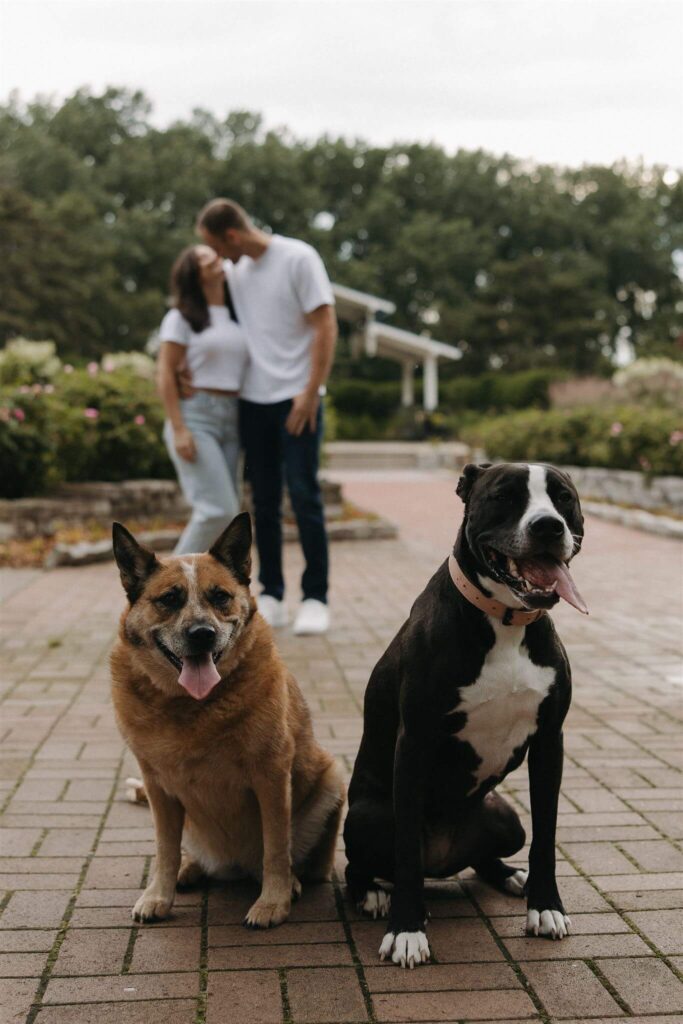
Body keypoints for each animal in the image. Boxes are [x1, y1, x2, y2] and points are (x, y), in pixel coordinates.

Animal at [114, 512, 348, 929]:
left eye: (220, 596)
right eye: (169, 599)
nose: (202, 634)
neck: (191, 707)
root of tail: (234, 865)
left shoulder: (271, 777)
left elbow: (276, 847)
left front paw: (273, 902)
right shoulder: (158, 788)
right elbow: (164, 848)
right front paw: (158, 895)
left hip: (332, 774)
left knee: (295, 863)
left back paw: (291, 882)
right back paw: (190, 869)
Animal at [348, 464, 589, 966]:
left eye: (563, 498)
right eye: (504, 496)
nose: (548, 526)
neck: (505, 622)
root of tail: (442, 861)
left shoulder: (550, 742)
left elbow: (547, 835)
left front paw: (546, 906)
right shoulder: (414, 742)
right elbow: (405, 850)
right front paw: (406, 930)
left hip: (505, 820)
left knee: (485, 855)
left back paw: (509, 875)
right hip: (364, 816)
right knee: (361, 865)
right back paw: (373, 895)